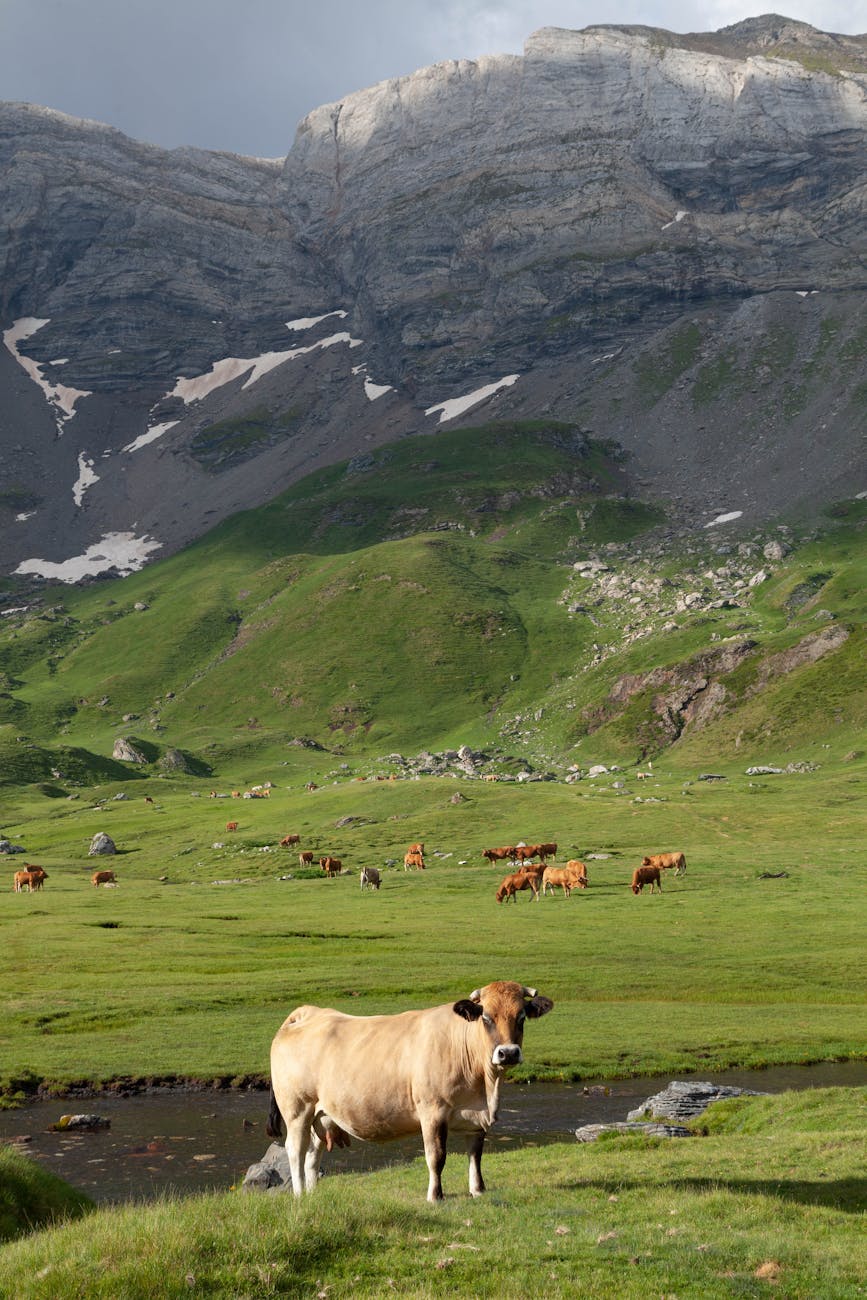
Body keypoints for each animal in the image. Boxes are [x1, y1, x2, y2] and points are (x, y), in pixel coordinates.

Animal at [266, 980, 553, 1201]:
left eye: (521, 1017)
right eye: (486, 1017)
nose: (508, 1053)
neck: (484, 1086)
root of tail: (308, 1013)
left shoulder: (475, 1118)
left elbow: (476, 1155)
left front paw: (478, 1190)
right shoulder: (432, 1111)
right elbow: (436, 1157)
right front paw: (435, 1196)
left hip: (321, 1114)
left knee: (312, 1155)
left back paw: (313, 1195)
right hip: (297, 1110)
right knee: (295, 1150)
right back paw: (299, 1196)